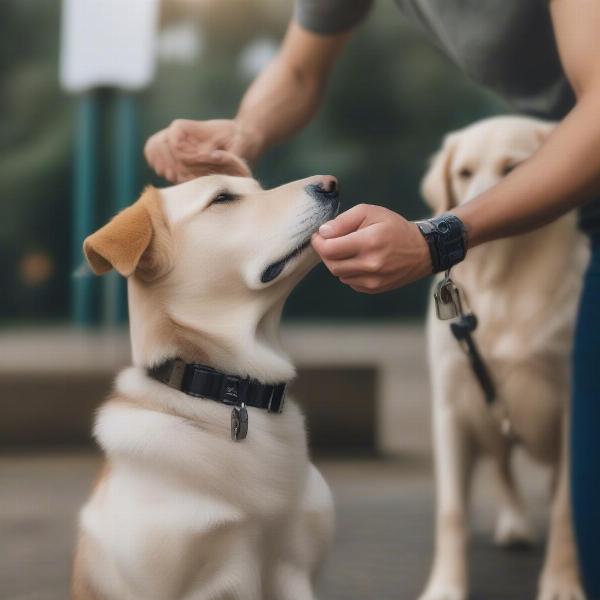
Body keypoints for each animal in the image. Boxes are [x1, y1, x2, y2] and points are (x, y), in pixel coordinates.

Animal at [420, 116, 588, 600]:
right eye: (463, 172)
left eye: (514, 169)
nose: (474, 209)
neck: (504, 282)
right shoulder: (451, 406)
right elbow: (451, 511)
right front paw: (445, 588)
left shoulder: (572, 408)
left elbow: (565, 508)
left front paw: (561, 584)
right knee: (501, 465)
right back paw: (514, 521)